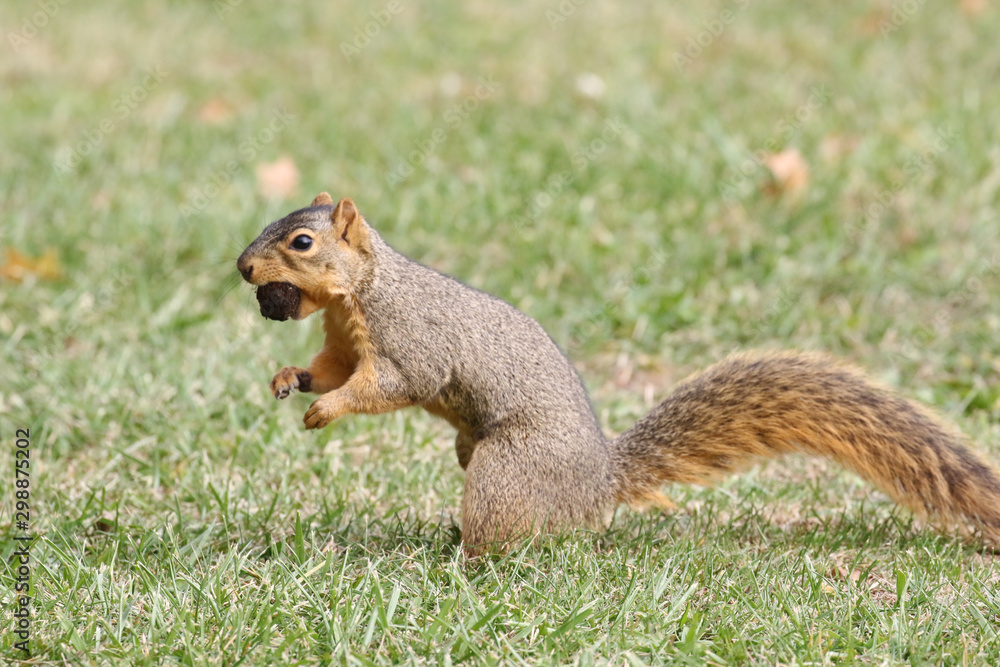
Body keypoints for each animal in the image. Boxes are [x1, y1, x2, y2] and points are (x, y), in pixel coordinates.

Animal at [237, 193, 1000, 554]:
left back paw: (464, 559)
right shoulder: (341, 343)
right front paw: (289, 380)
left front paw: (325, 411)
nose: (244, 268)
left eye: (301, 242)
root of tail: (600, 480)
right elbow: (329, 368)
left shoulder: (410, 343)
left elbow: (385, 386)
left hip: (507, 467)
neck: (362, 292)